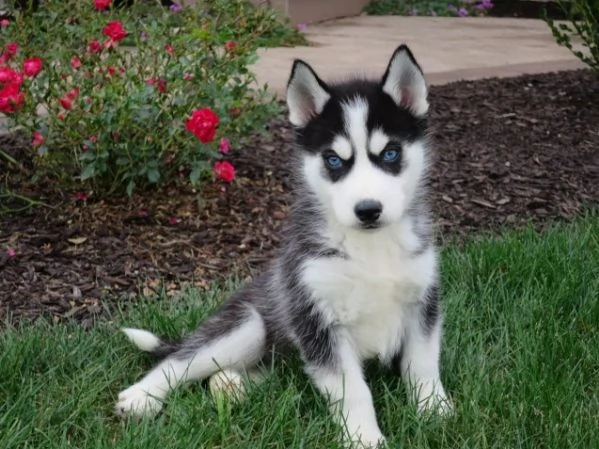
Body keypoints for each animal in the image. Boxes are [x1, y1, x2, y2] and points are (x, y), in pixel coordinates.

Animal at [116, 44, 450, 444]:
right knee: (179, 360)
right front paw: (364, 438)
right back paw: (140, 396)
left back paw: (231, 385)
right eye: (333, 160)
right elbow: (352, 389)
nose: (368, 210)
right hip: (248, 325)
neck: (370, 249)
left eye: (390, 153)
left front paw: (434, 409)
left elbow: (423, 364)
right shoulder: (314, 315)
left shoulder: (423, 302)